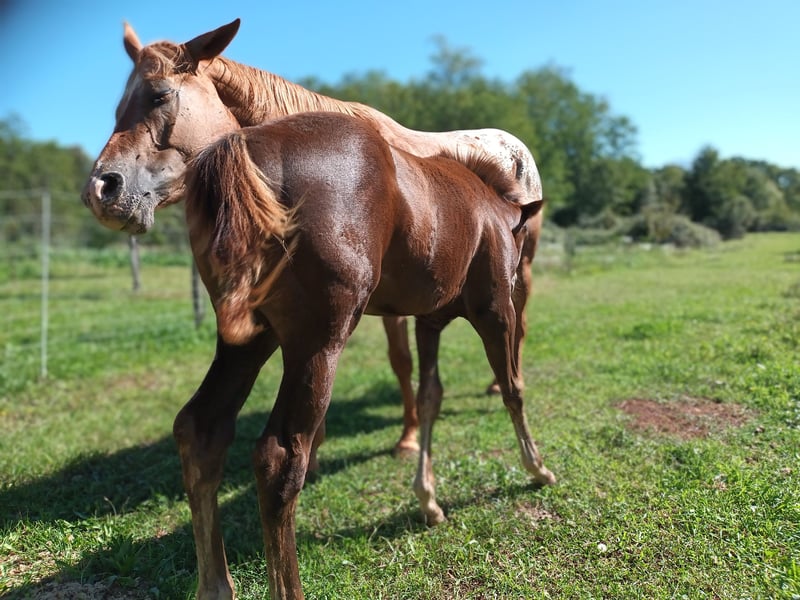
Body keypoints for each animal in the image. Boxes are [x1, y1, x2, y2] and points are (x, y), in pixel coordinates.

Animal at [111, 18, 546, 455]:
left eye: (160, 95)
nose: (104, 187)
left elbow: (401, 361)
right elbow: (399, 362)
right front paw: (397, 436)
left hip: (520, 272)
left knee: (521, 323)